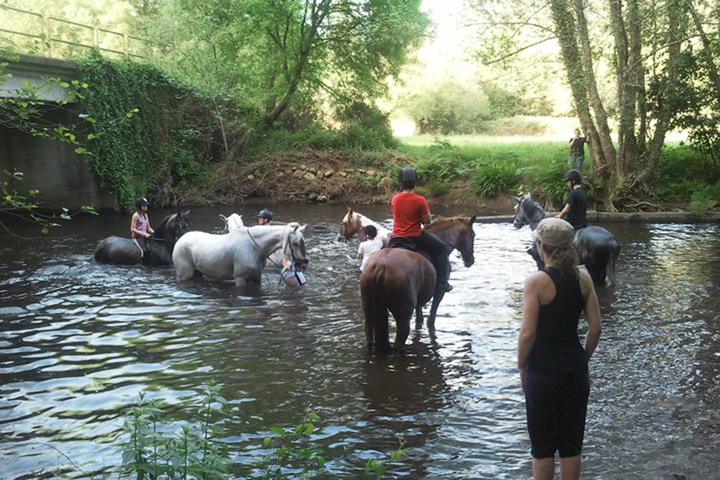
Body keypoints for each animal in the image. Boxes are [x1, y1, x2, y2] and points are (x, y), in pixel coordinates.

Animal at [172, 223, 309, 287]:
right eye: (295, 243)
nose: (303, 265)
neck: (254, 247)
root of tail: (180, 240)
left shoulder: (256, 277)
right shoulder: (240, 278)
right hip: (184, 275)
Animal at [360, 216, 477, 353]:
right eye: (473, 235)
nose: (471, 260)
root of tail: (380, 267)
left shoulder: (420, 300)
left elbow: (419, 319)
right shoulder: (439, 293)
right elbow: (431, 319)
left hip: (369, 310)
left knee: (369, 335)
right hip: (403, 315)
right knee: (399, 342)